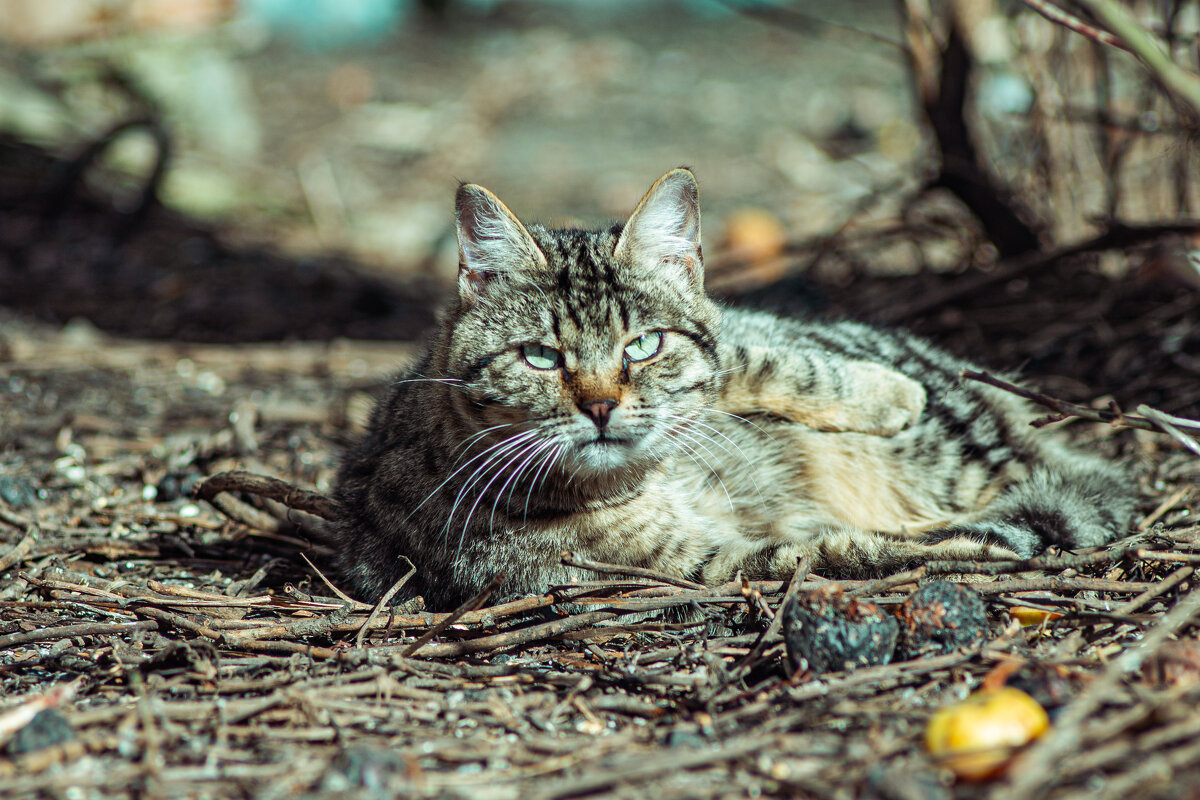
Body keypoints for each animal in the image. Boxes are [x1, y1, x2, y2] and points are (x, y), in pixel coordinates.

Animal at [328, 167, 1132, 606]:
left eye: (643, 346)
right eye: (540, 358)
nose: (600, 406)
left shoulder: (737, 351)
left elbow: (762, 362)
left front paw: (885, 394)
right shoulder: (680, 566)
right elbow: (836, 555)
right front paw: (940, 545)